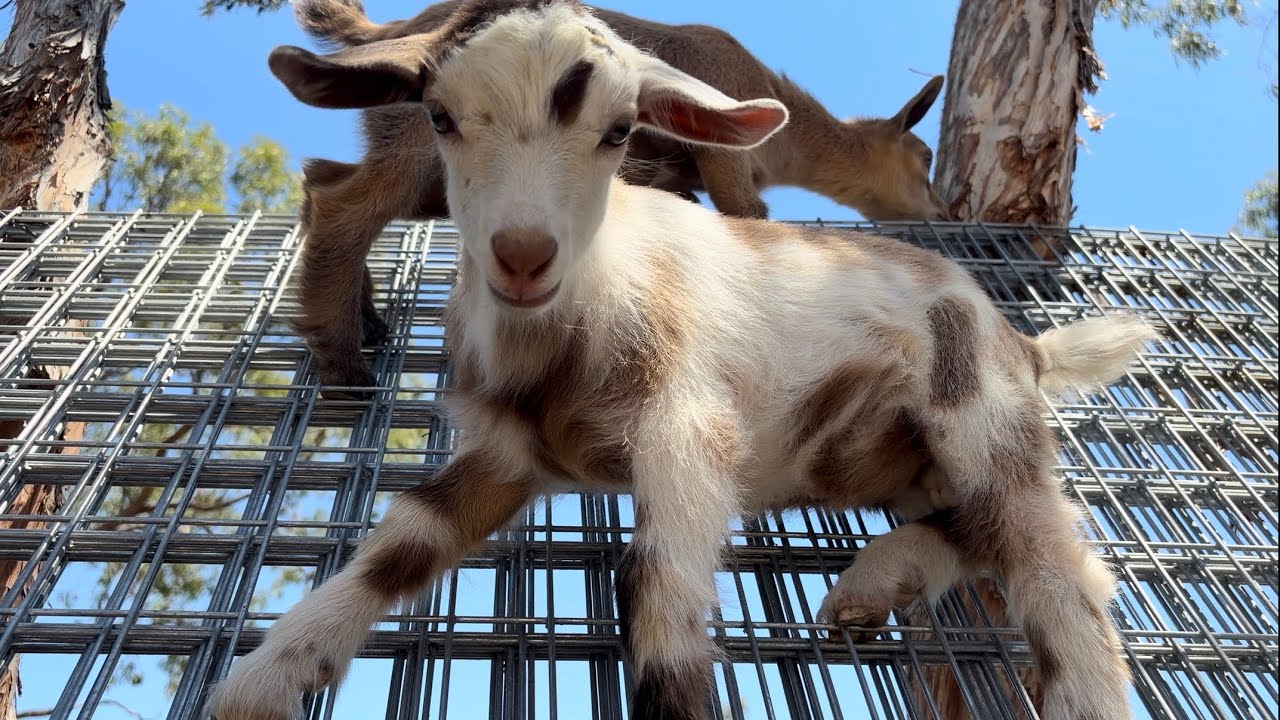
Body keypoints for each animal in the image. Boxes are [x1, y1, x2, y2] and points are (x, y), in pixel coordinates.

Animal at [286, 0, 949, 397]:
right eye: (925, 160)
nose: (942, 212)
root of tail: (389, 33)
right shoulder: (725, 160)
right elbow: (746, 219)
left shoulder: (670, 177)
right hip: (422, 146)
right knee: (347, 203)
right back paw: (344, 363)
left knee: (321, 180)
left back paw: (364, 318)